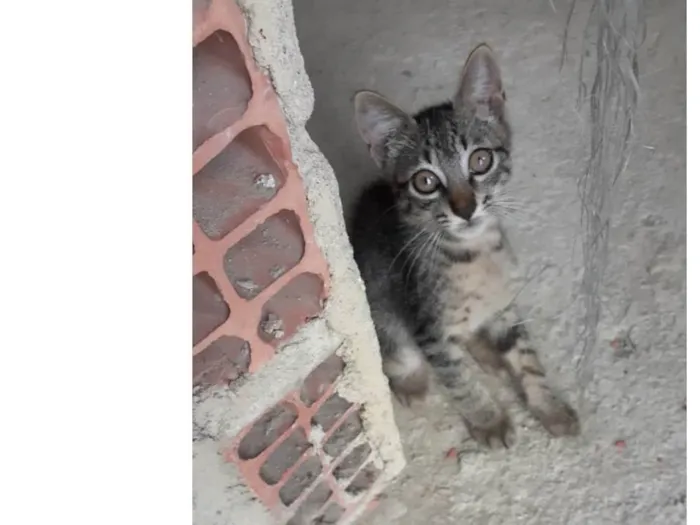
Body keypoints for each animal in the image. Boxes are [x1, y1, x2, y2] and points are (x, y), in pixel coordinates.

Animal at [350, 44, 580, 446]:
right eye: (425, 181)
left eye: (480, 160)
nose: (466, 207)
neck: (475, 256)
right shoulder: (430, 333)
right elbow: (459, 382)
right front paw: (489, 420)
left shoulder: (505, 307)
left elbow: (527, 359)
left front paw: (548, 406)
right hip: (383, 310)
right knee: (398, 352)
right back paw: (412, 381)